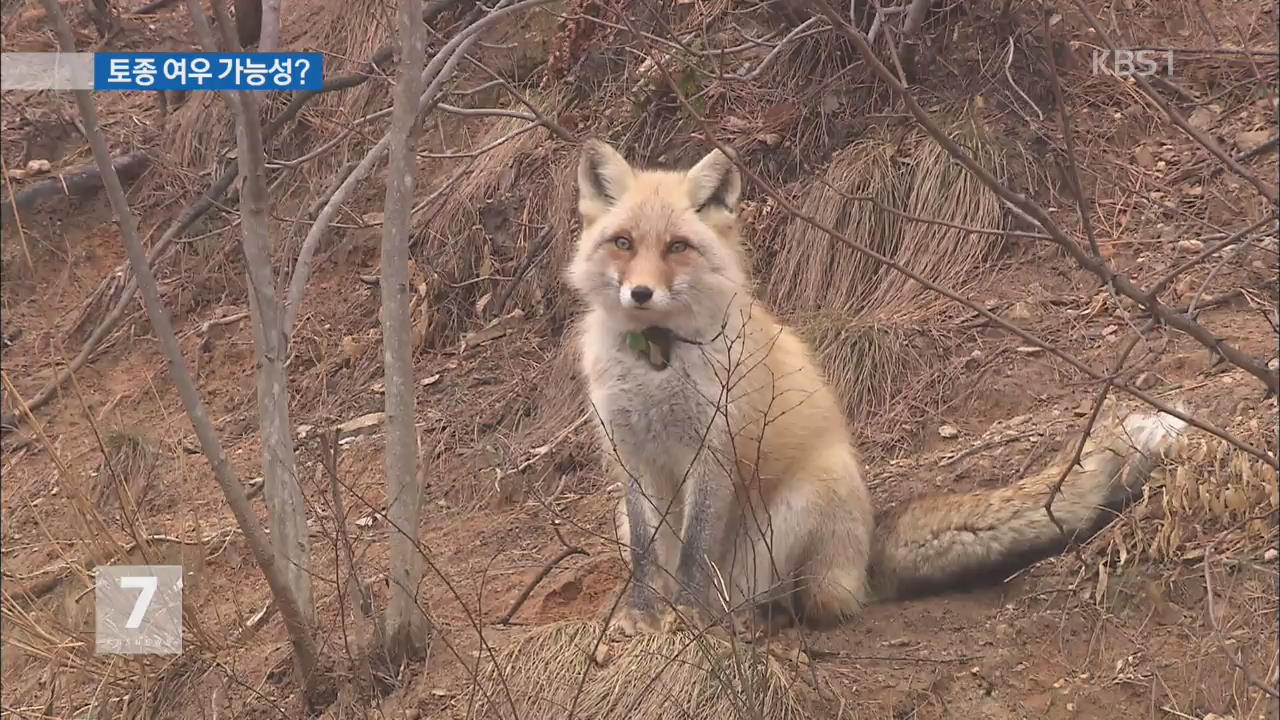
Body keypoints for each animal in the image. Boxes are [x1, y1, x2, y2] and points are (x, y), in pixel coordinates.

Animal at [570, 135, 1187, 632]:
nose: (640, 294)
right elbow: (651, 557)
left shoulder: (715, 448)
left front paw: (686, 615)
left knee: (819, 605)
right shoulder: (630, 457)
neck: (658, 360)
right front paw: (642, 616)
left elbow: (694, 552)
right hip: (627, 514)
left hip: (814, 496)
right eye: (623, 243)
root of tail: (868, 550)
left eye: (677, 247)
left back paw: (757, 617)